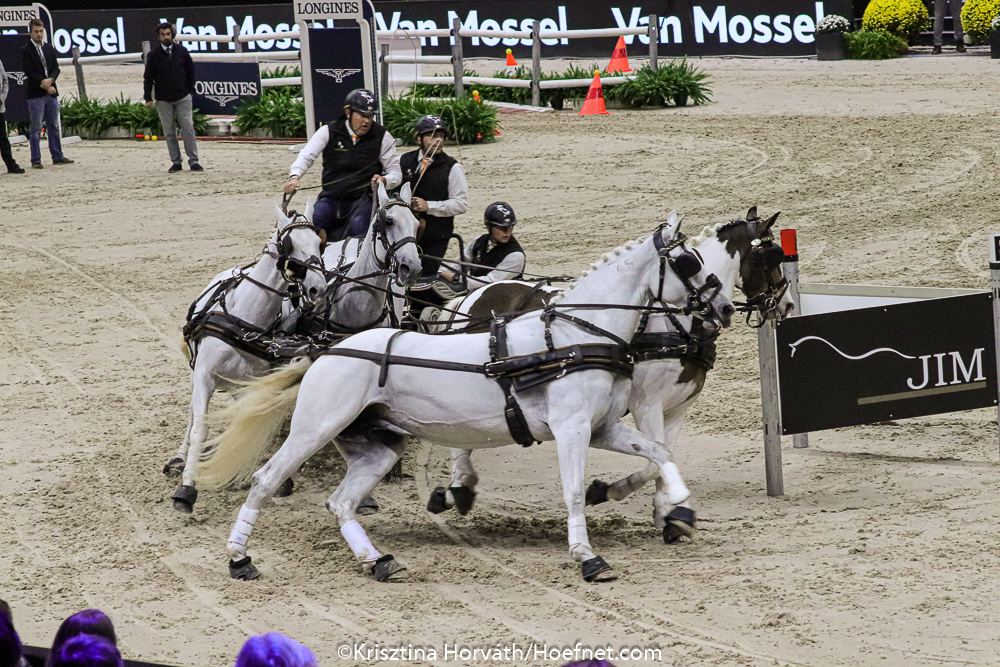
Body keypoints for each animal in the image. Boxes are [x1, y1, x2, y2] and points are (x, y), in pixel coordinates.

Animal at [165, 183, 422, 513]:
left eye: (417, 223)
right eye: (388, 222)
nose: (411, 267)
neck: (245, 319)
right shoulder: (205, 375)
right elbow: (200, 427)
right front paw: (186, 488)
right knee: (193, 415)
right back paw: (179, 459)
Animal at [196, 214, 735, 584]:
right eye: (688, 262)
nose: (726, 308)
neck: (573, 335)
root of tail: (326, 350)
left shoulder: (604, 427)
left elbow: (659, 451)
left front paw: (679, 507)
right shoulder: (573, 428)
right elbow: (574, 491)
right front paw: (588, 557)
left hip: (377, 447)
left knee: (342, 502)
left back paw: (378, 561)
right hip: (315, 429)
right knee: (267, 480)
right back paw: (239, 558)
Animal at [421, 208, 795, 544]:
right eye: (769, 258)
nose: (787, 304)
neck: (675, 321)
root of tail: (468, 297)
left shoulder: (676, 408)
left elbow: (664, 455)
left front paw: (671, 515)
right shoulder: (647, 405)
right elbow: (652, 462)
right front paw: (609, 493)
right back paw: (457, 489)